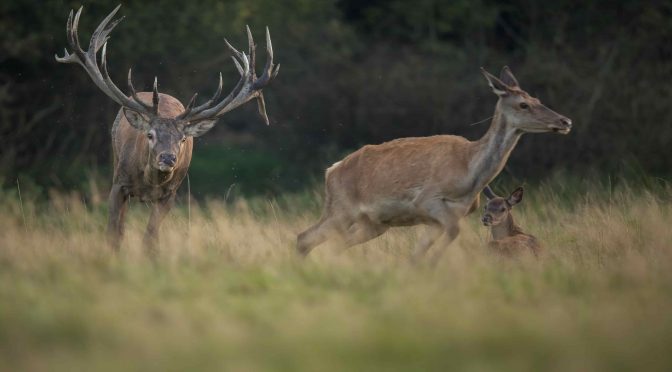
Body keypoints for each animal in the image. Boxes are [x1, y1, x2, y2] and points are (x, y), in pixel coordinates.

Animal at [55, 5, 278, 253]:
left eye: (183, 139)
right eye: (150, 135)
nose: (168, 158)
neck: (149, 182)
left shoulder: (170, 195)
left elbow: (150, 238)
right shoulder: (118, 184)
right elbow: (113, 233)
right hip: (115, 161)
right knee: (120, 226)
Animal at [300, 66, 572, 262]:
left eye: (536, 98)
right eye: (523, 104)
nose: (565, 121)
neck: (469, 175)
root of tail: (331, 171)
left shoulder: (444, 217)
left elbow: (419, 252)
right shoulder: (427, 200)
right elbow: (454, 233)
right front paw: (434, 263)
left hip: (374, 223)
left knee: (334, 243)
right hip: (341, 208)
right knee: (305, 238)